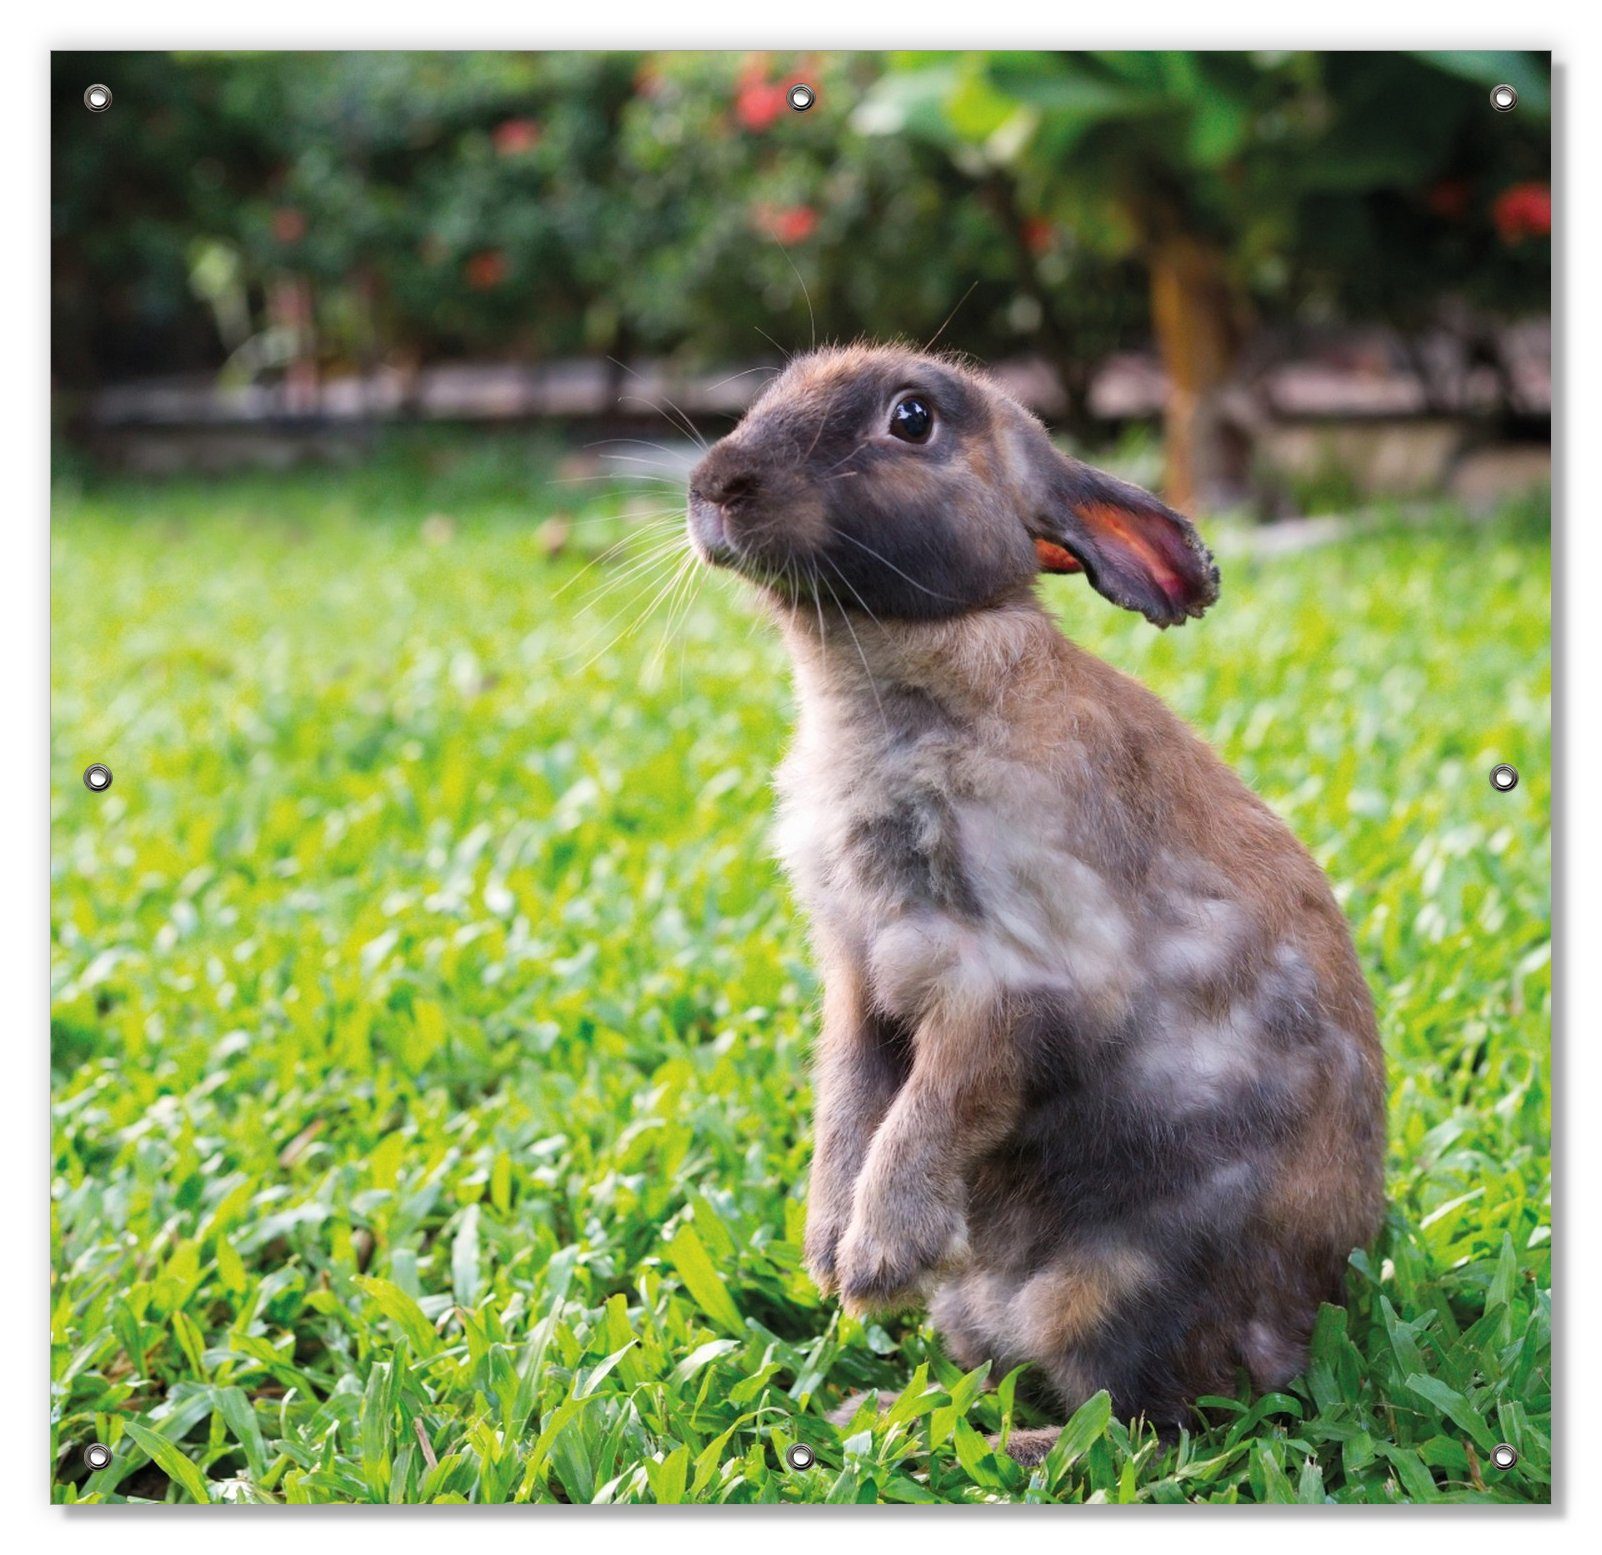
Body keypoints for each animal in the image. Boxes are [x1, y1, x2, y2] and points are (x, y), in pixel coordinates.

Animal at [682, 341, 1384, 1460]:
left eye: (913, 418)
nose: (712, 485)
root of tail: (1302, 1333)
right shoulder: (859, 978)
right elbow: (848, 1097)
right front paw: (828, 1250)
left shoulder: (1009, 982)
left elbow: (935, 1104)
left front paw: (872, 1260)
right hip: (984, 1304)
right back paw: (878, 1418)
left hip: (1111, 1292)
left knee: (1139, 1427)